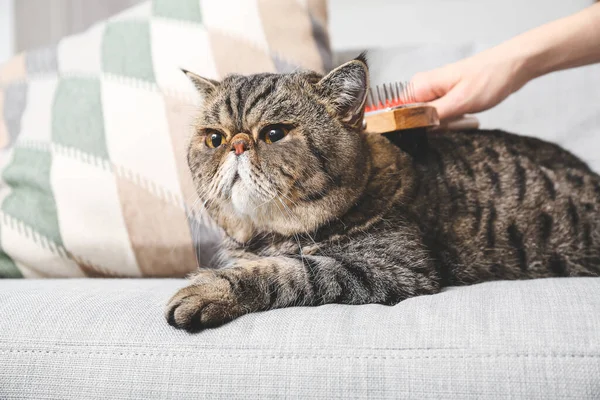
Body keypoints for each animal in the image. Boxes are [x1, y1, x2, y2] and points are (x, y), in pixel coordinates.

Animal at [166, 54, 600, 332]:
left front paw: (209, 287)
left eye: (274, 133)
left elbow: (289, 270)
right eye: (215, 138)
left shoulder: (394, 267)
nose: (237, 144)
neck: (263, 235)